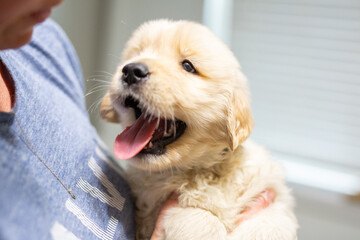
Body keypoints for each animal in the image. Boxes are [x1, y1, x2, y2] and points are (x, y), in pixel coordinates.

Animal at [100, 19, 296, 240]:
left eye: (188, 66)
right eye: (137, 54)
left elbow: (273, 224)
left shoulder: (271, 196)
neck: (198, 170)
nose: (131, 70)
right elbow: (200, 217)